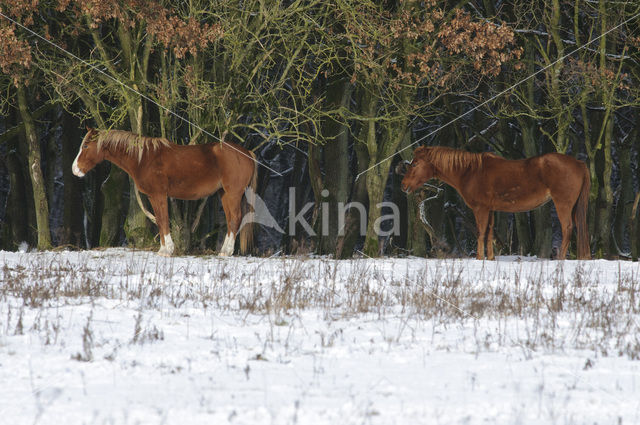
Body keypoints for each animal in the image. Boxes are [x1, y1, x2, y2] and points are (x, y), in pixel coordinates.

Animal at [72, 127, 258, 256]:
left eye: (86, 145)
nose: (75, 170)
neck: (144, 159)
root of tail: (247, 152)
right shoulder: (154, 197)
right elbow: (160, 221)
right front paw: (163, 249)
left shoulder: (159, 195)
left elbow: (163, 219)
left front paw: (167, 250)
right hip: (224, 194)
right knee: (230, 220)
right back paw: (224, 250)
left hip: (233, 193)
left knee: (236, 218)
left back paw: (227, 252)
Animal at [400, 146, 592, 258]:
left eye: (415, 164)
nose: (403, 185)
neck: (470, 172)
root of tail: (579, 163)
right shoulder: (491, 210)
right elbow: (490, 233)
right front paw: (490, 258)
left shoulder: (480, 209)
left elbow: (480, 233)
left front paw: (479, 258)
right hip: (574, 207)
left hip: (563, 204)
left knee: (567, 228)